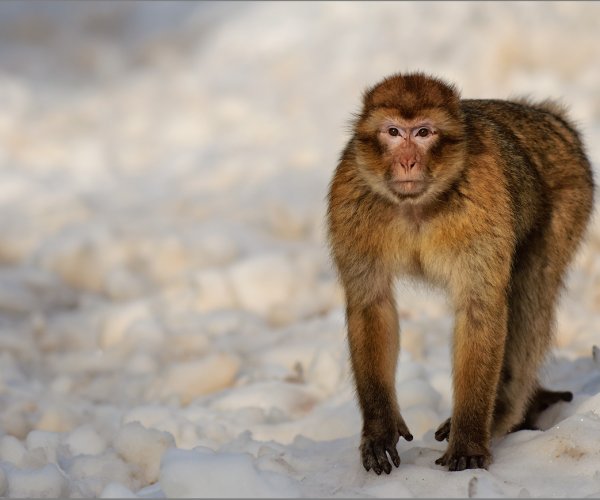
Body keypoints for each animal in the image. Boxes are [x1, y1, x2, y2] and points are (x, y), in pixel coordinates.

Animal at [328, 73, 596, 472]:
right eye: (393, 132)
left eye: (424, 132)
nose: (407, 161)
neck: (417, 208)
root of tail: (546, 117)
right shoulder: (350, 199)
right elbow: (371, 305)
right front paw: (379, 428)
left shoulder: (482, 202)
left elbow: (480, 309)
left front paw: (469, 439)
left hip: (570, 196)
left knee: (531, 292)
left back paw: (502, 412)